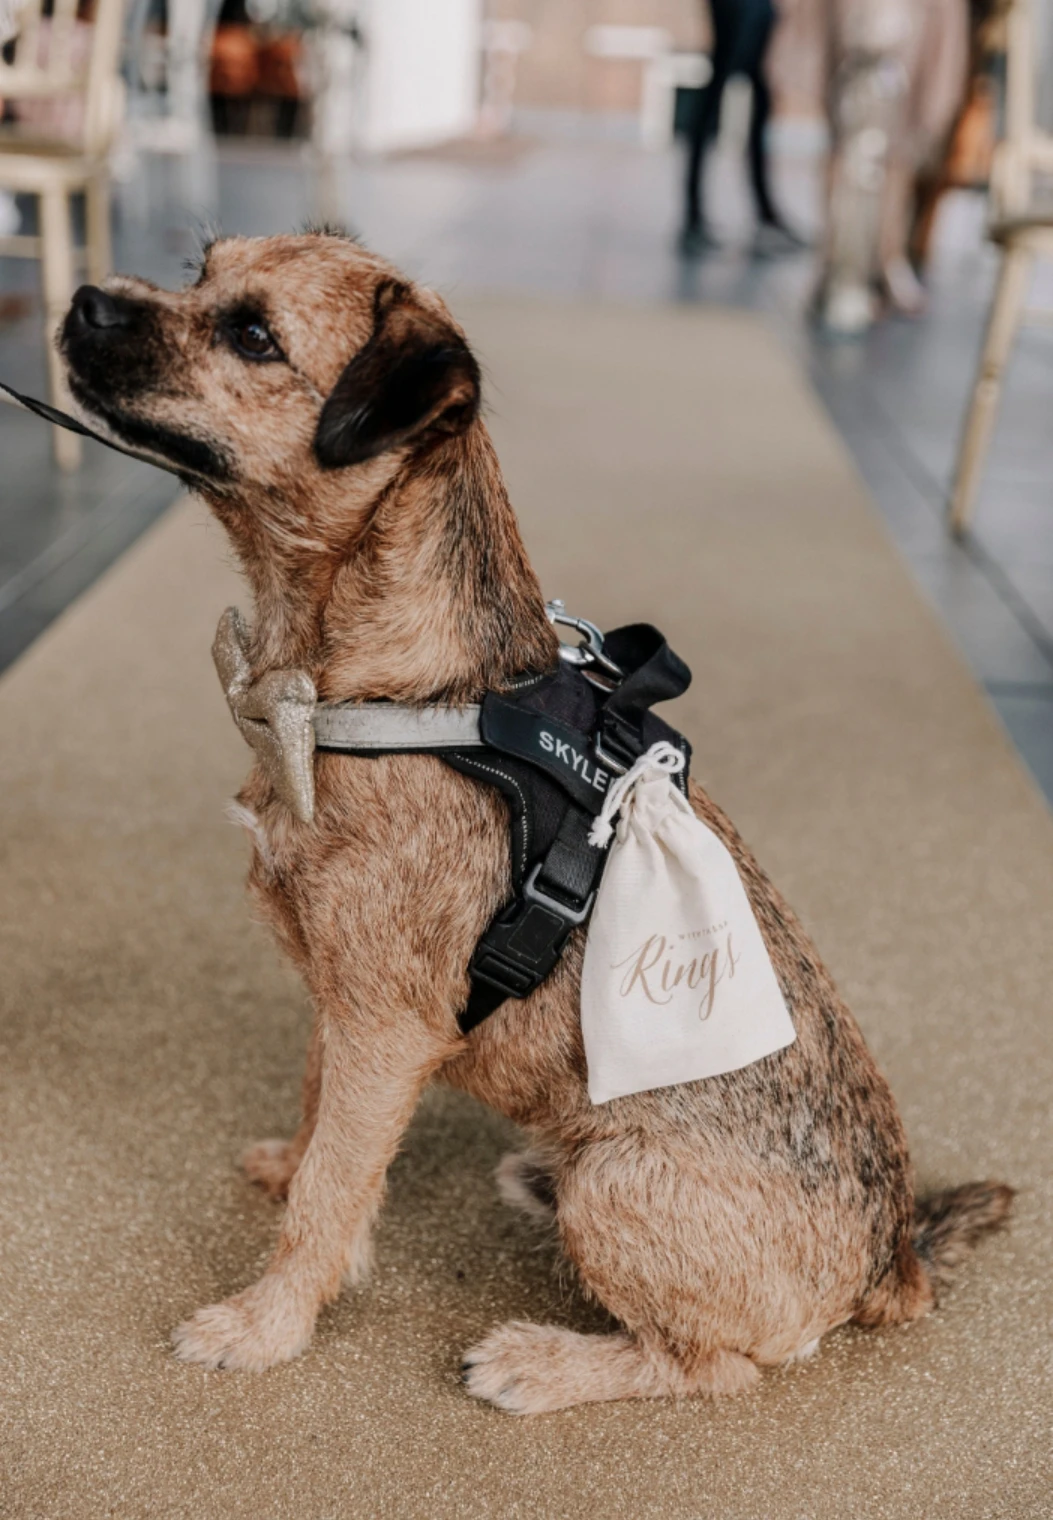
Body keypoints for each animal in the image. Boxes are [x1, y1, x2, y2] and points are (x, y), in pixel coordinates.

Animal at [59, 234, 1008, 1410]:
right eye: (199, 269)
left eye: (253, 334)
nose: (81, 299)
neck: (394, 683)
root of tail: (894, 1259)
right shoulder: (347, 1000)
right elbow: (324, 1122)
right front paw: (292, 1169)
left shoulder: (386, 1024)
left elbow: (329, 1192)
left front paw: (265, 1324)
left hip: (618, 1180)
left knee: (712, 1365)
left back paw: (540, 1360)